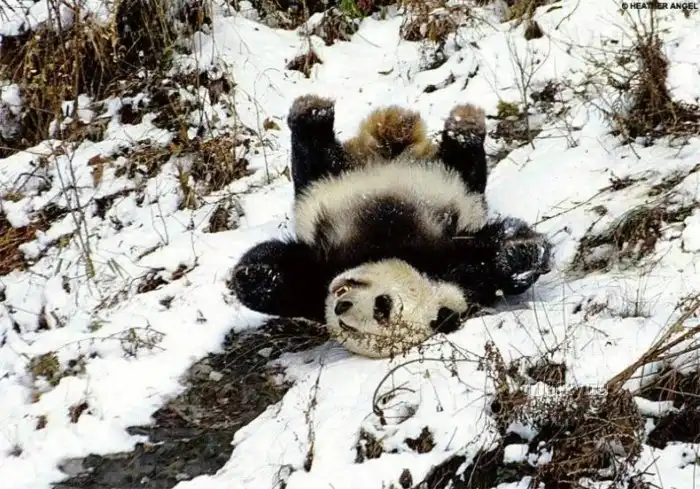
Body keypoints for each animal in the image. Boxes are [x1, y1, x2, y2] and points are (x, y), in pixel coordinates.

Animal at [229, 94, 552, 358]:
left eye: (380, 309)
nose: (340, 306)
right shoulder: (325, 270)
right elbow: (276, 278)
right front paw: (257, 274)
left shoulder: (459, 269)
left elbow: (495, 260)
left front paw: (519, 255)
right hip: (329, 182)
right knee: (315, 160)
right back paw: (313, 112)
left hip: (459, 190)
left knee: (464, 167)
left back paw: (464, 129)